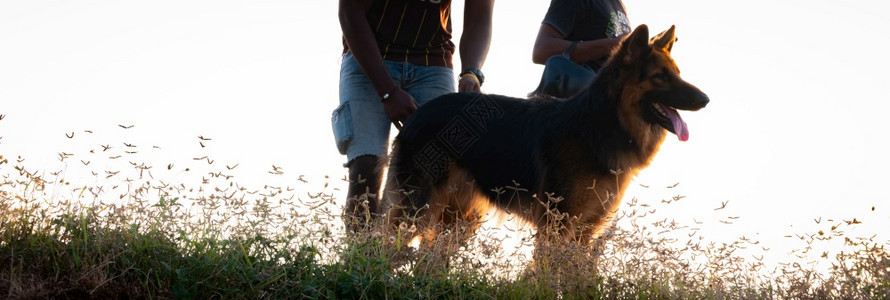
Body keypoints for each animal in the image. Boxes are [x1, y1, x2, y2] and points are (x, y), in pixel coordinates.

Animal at [380, 24, 708, 248]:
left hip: (458, 219)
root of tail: (417, 113)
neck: (601, 125)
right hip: (416, 213)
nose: (706, 99)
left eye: (678, 74)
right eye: (661, 77)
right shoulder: (556, 228)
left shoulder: (584, 232)